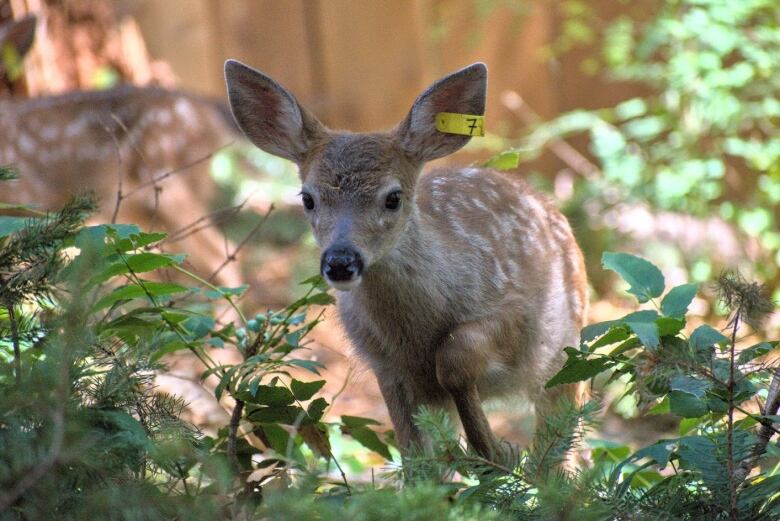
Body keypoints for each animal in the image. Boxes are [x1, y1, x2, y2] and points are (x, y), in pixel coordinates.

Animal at [222, 59, 588, 462]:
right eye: (308, 198)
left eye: (393, 197)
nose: (341, 261)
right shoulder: (387, 369)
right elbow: (416, 460)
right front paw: (489, 454)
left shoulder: (521, 315)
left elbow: (455, 356)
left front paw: (495, 451)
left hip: (566, 350)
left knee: (564, 447)